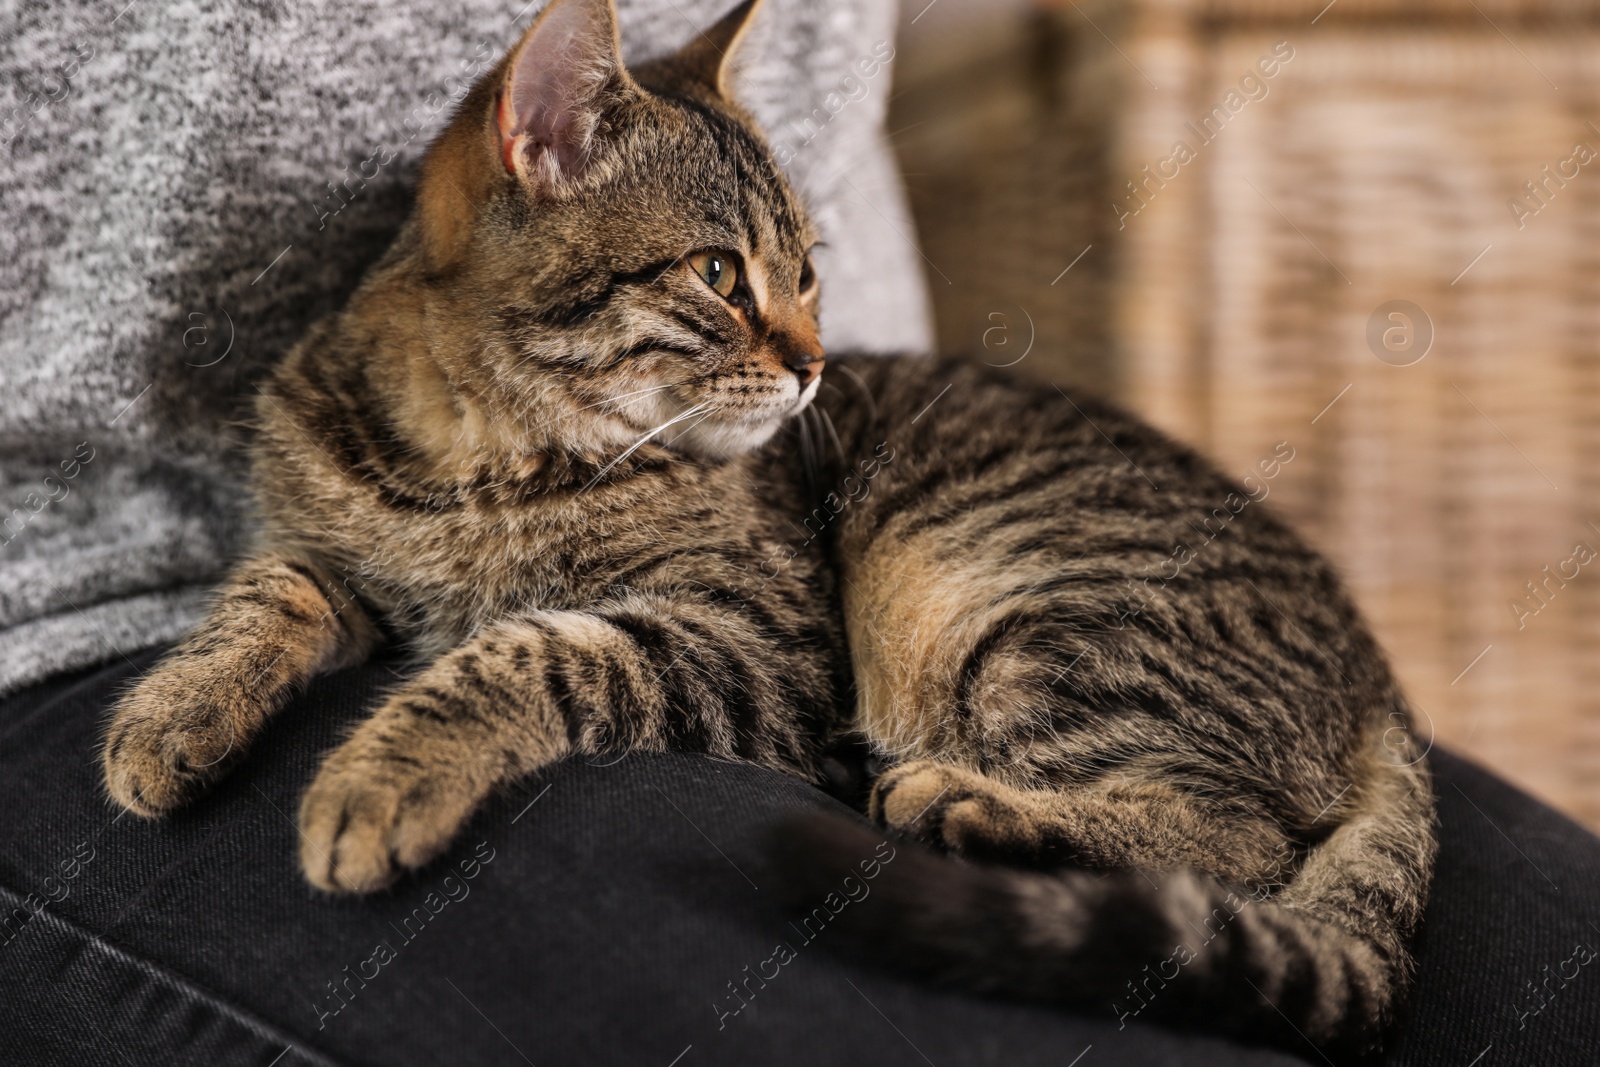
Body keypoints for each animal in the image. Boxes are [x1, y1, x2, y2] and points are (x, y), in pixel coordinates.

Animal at [103, 0, 1440, 1055]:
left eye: (806, 272)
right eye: (716, 274)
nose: (811, 366)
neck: (479, 457)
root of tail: (1383, 687)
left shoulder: (760, 643)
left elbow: (531, 648)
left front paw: (381, 774)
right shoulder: (337, 549)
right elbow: (272, 587)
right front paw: (173, 715)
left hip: (1017, 607)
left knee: (1240, 834)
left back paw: (967, 802)